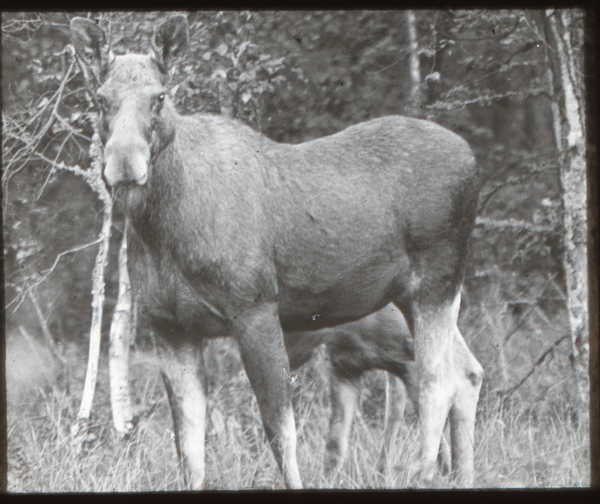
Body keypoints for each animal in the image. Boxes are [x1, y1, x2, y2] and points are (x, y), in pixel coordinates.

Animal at [71, 13, 482, 490]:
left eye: (159, 97)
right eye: (100, 98)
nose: (123, 163)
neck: (162, 228)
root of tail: (473, 159)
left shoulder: (256, 308)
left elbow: (279, 430)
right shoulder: (170, 327)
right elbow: (189, 447)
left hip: (437, 280)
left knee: (438, 380)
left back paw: (421, 473)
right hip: (410, 295)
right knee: (468, 371)